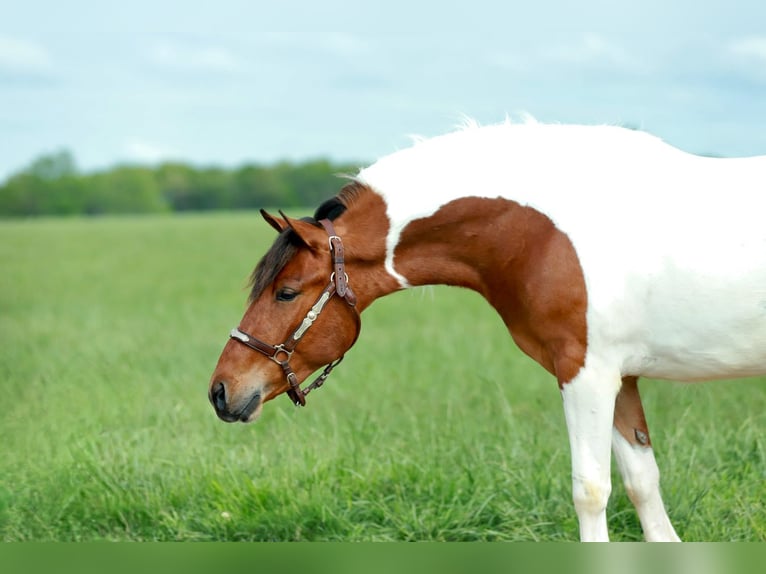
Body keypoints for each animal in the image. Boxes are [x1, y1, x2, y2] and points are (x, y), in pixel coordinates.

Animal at [208, 120, 766, 542]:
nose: (221, 391)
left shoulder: (587, 375)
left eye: (285, 292)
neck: (546, 234)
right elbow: (642, 483)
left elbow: (590, 491)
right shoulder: (620, 377)